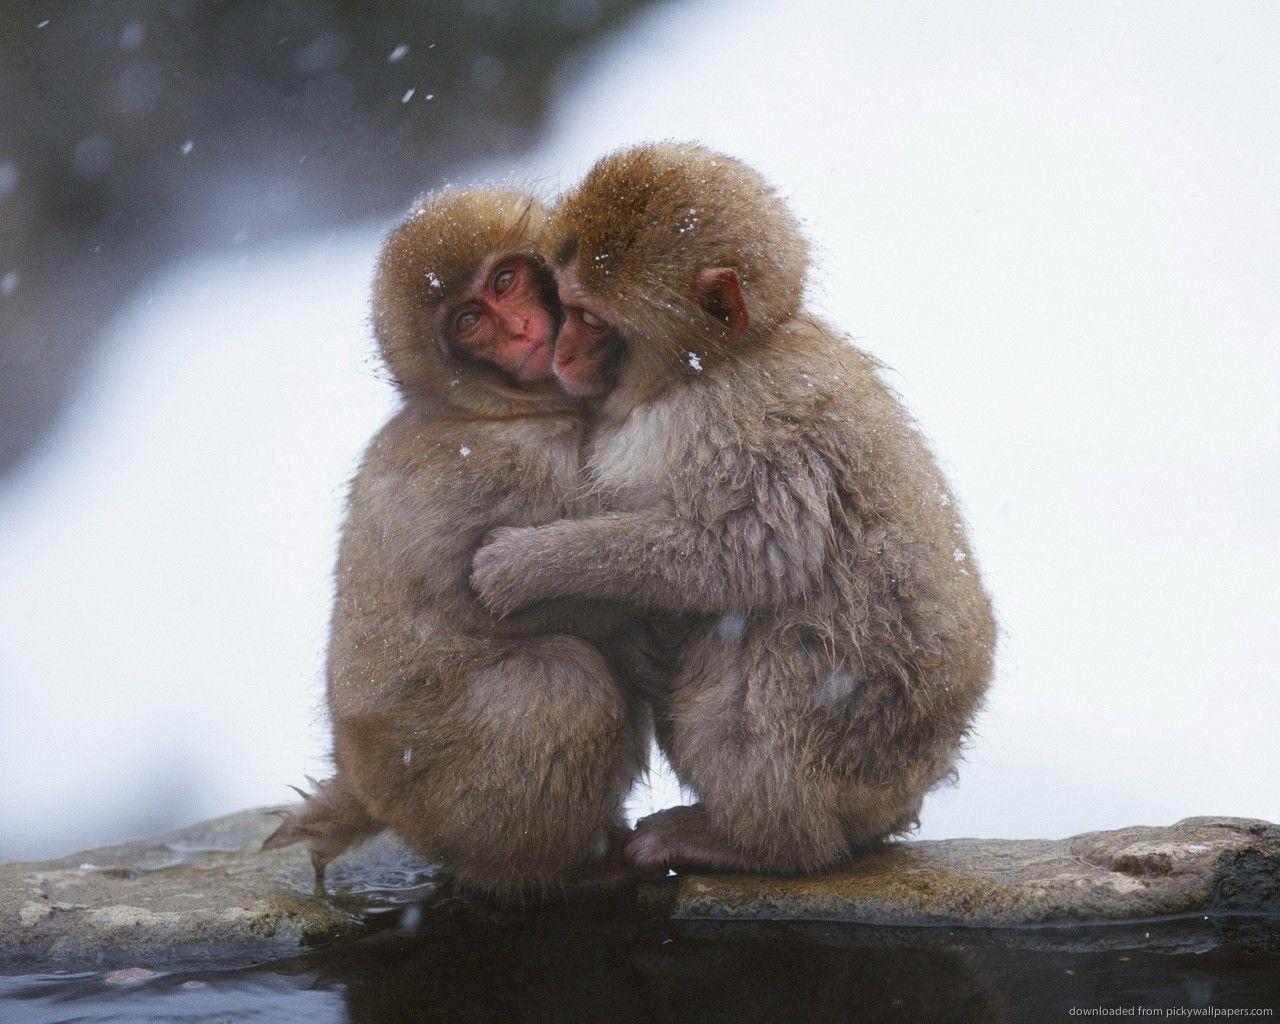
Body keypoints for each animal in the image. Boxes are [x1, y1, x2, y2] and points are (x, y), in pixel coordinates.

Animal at [264, 185, 655, 898]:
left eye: (505, 281)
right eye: (471, 320)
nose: (522, 331)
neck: (489, 408)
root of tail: (362, 783)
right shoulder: (523, 464)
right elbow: (541, 593)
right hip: (440, 788)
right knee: (566, 685)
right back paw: (557, 868)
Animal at [470, 143, 997, 875]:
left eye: (592, 319)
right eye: (562, 304)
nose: (561, 351)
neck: (710, 366)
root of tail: (908, 785)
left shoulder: (745, 426)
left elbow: (749, 554)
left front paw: (530, 564)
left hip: (846, 744)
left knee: (768, 645)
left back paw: (760, 841)